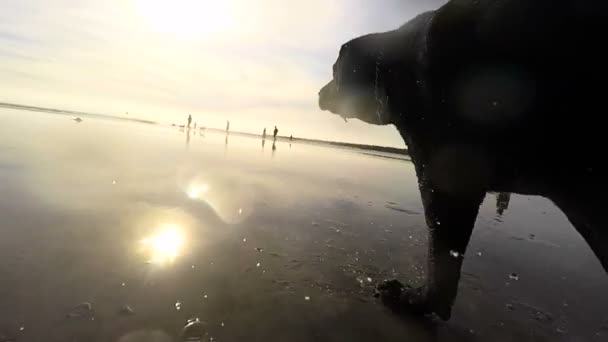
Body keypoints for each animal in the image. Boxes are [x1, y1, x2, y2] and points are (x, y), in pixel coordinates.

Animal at [320, 0, 604, 320]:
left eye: (334, 71)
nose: (318, 93)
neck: (400, 71)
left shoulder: (445, 176)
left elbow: (441, 259)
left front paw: (415, 299)